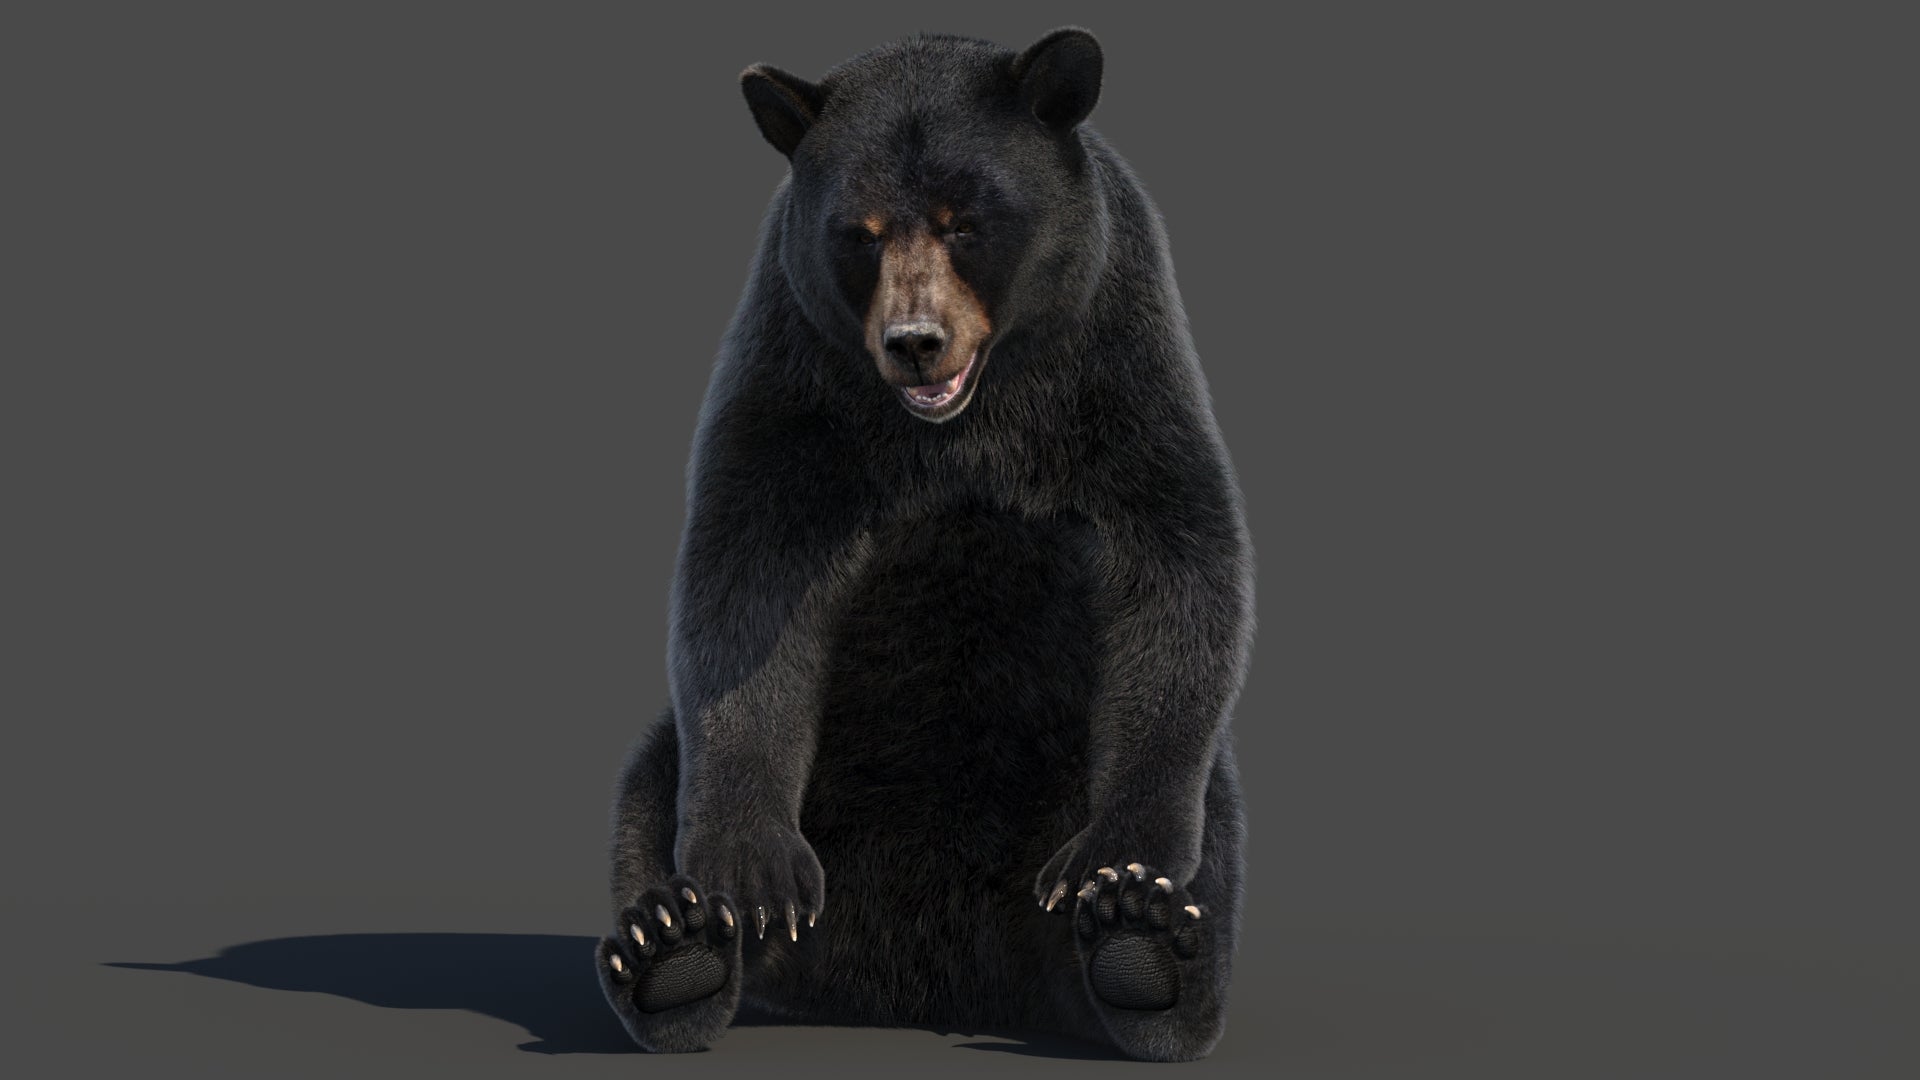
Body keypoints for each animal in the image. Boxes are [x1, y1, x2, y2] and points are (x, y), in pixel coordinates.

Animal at [595, 27, 1254, 1063]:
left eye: (966, 221)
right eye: (859, 233)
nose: (915, 341)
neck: (961, 425)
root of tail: (919, 986)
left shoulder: (1115, 368)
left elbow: (1175, 557)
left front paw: (1118, 867)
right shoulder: (801, 384)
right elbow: (747, 580)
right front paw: (751, 872)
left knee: (1210, 819)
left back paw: (1143, 951)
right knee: (648, 786)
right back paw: (675, 946)